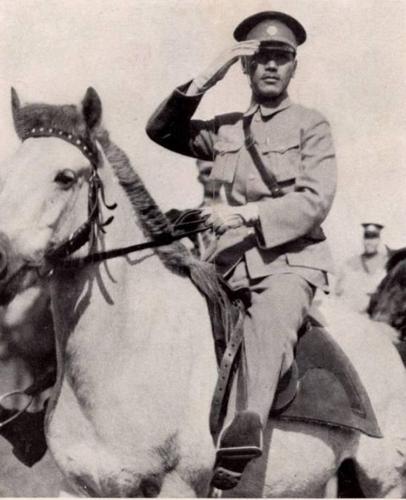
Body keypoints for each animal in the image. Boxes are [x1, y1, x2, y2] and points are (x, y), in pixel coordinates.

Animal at [0, 86, 404, 496]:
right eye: (7, 174)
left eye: (65, 177)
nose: (1, 259)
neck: (129, 349)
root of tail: (384, 338)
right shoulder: (76, 486)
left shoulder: (175, 485)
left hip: (384, 482)